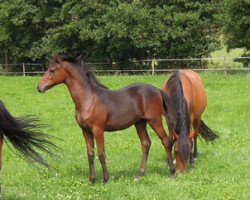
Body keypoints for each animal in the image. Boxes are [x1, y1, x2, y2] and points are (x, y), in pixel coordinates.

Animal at [37, 55, 178, 183]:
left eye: (52, 70)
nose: (39, 87)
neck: (89, 100)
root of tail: (157, 90)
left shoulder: (98, 130)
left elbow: (101, 154)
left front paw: (105, 179)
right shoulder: (85, 131)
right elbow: (90, 154)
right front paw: (91, 180)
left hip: (154, 121)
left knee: (166, 141)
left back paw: (172, 172)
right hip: (140, 123)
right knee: (146, 143)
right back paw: (140, 174)